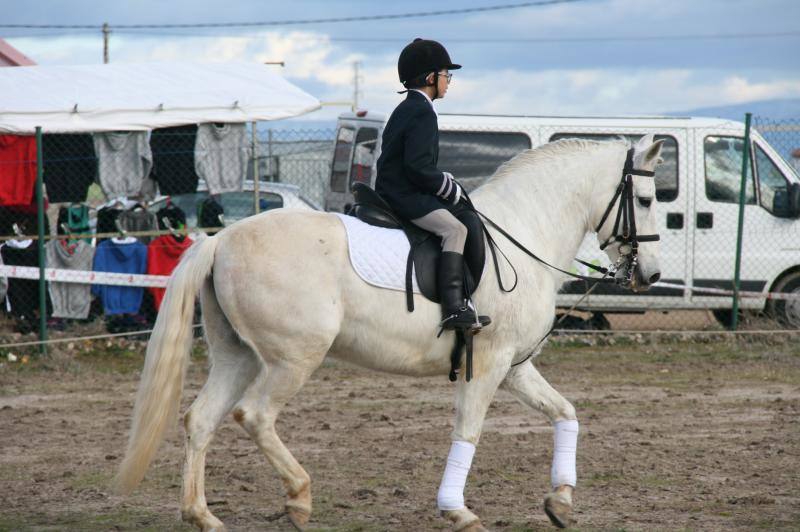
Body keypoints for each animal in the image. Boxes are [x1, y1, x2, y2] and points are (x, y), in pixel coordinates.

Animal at [112, 135, 664, 528]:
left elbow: (565, 413)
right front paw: (457, 510)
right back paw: (298, 499)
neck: (523, 234)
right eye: (646, 198)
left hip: (238, 355)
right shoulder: (486, 365)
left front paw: (561, 501)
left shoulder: (514, 368)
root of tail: (222, 238)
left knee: (201, 419)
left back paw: (203, 515)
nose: (652, 274)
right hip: (293, 358)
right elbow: (468, 431)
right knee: (255, 416)